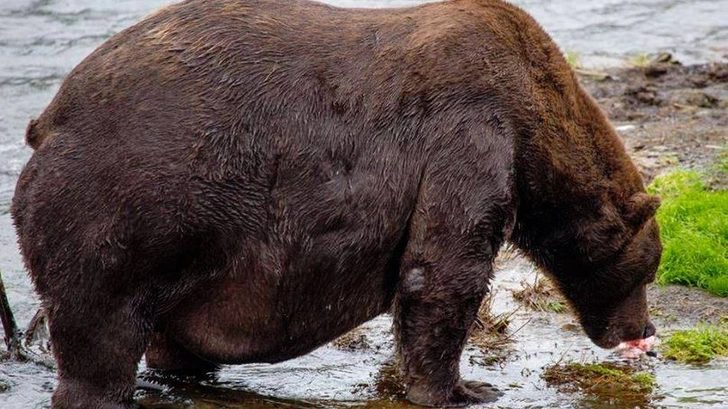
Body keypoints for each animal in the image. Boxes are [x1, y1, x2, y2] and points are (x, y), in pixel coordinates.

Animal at [11, 0, 660, 406]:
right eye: (648, 268)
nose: (645, 330)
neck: (536, 128)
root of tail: (48, 119)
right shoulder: (470, 133)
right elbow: (444, 270)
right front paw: (464, 389)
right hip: (122, 208)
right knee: (99, 333)